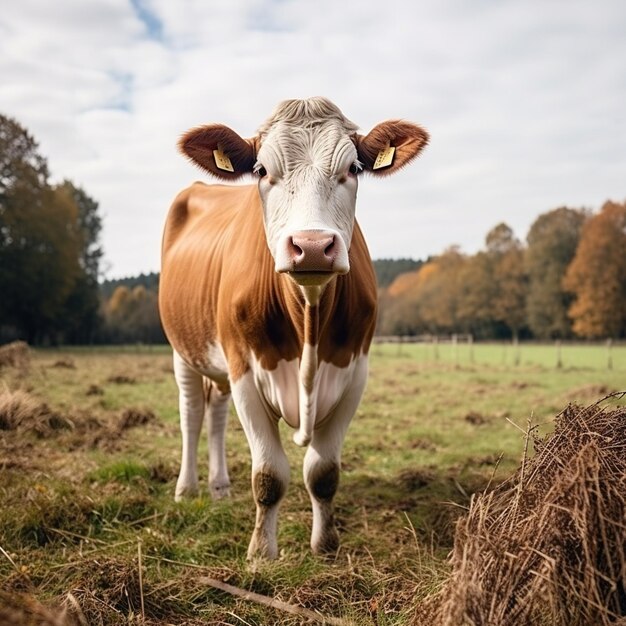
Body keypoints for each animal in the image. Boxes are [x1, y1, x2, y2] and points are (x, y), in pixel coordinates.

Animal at [158, 97, 426, 556]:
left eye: (353, 168)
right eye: (262, 170)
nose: (313, 246)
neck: (309, 324)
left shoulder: (354, 374)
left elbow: (323, 472)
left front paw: (325, 545)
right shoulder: (245, 370)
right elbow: (269, 475)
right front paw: (261, 553)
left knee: (215, 412)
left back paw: (219, 487)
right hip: (185, 349)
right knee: (192, 413)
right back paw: (187, 488)